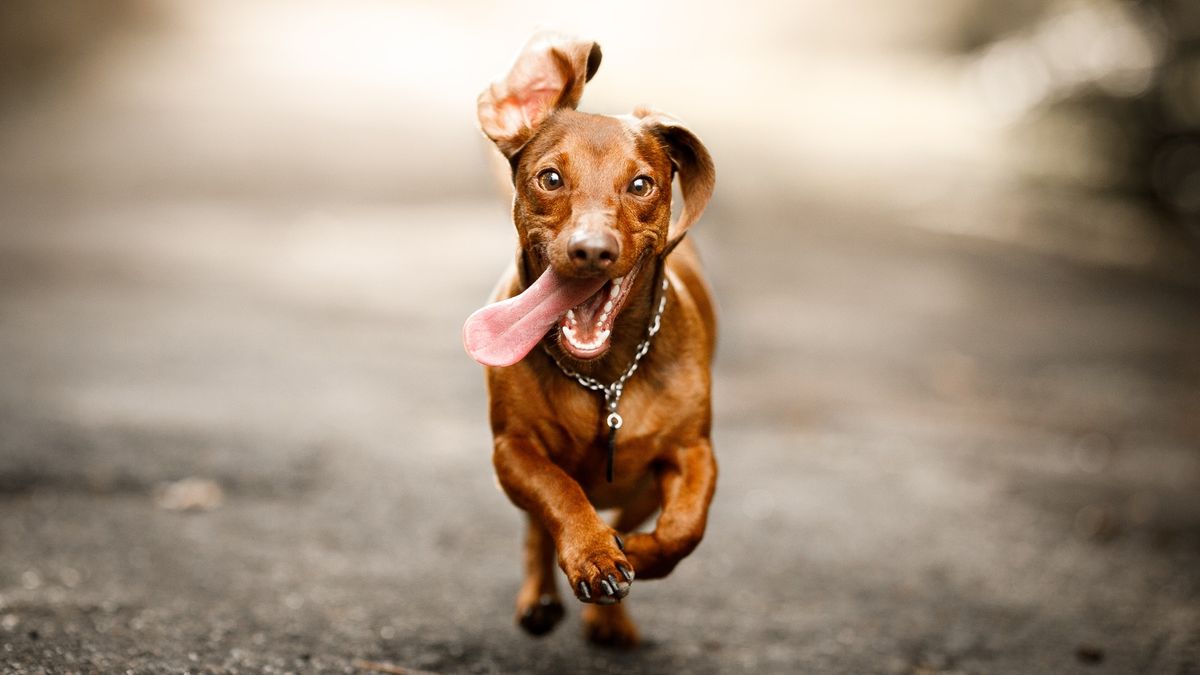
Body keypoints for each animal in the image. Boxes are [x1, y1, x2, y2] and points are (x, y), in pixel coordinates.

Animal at [463, 32, 715, 648]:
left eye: (642, 184)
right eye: (550, 178)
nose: (592, 250)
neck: (605, 377)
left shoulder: (694, 451)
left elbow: (684, 529)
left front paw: (635, 556)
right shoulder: (513, 450)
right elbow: (559, 493)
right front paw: (593, 554)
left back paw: (610, 617)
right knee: (537, 527)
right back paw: (541, 597)